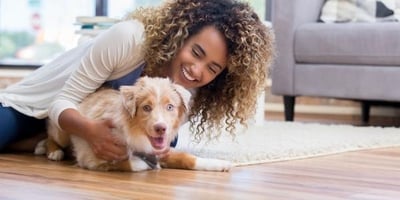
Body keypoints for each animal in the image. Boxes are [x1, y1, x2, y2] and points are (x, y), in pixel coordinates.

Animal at [36, 76, 234, 172]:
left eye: (170, 106)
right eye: (146, 107)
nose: (161, 128)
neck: (135, 133)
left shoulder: (160, 149)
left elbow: (188, 158)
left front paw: (219, 163)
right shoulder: (91, 158)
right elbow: (128, 163)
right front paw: (145, 164)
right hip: (61, 129)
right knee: (51, 136)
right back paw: (51, 151)